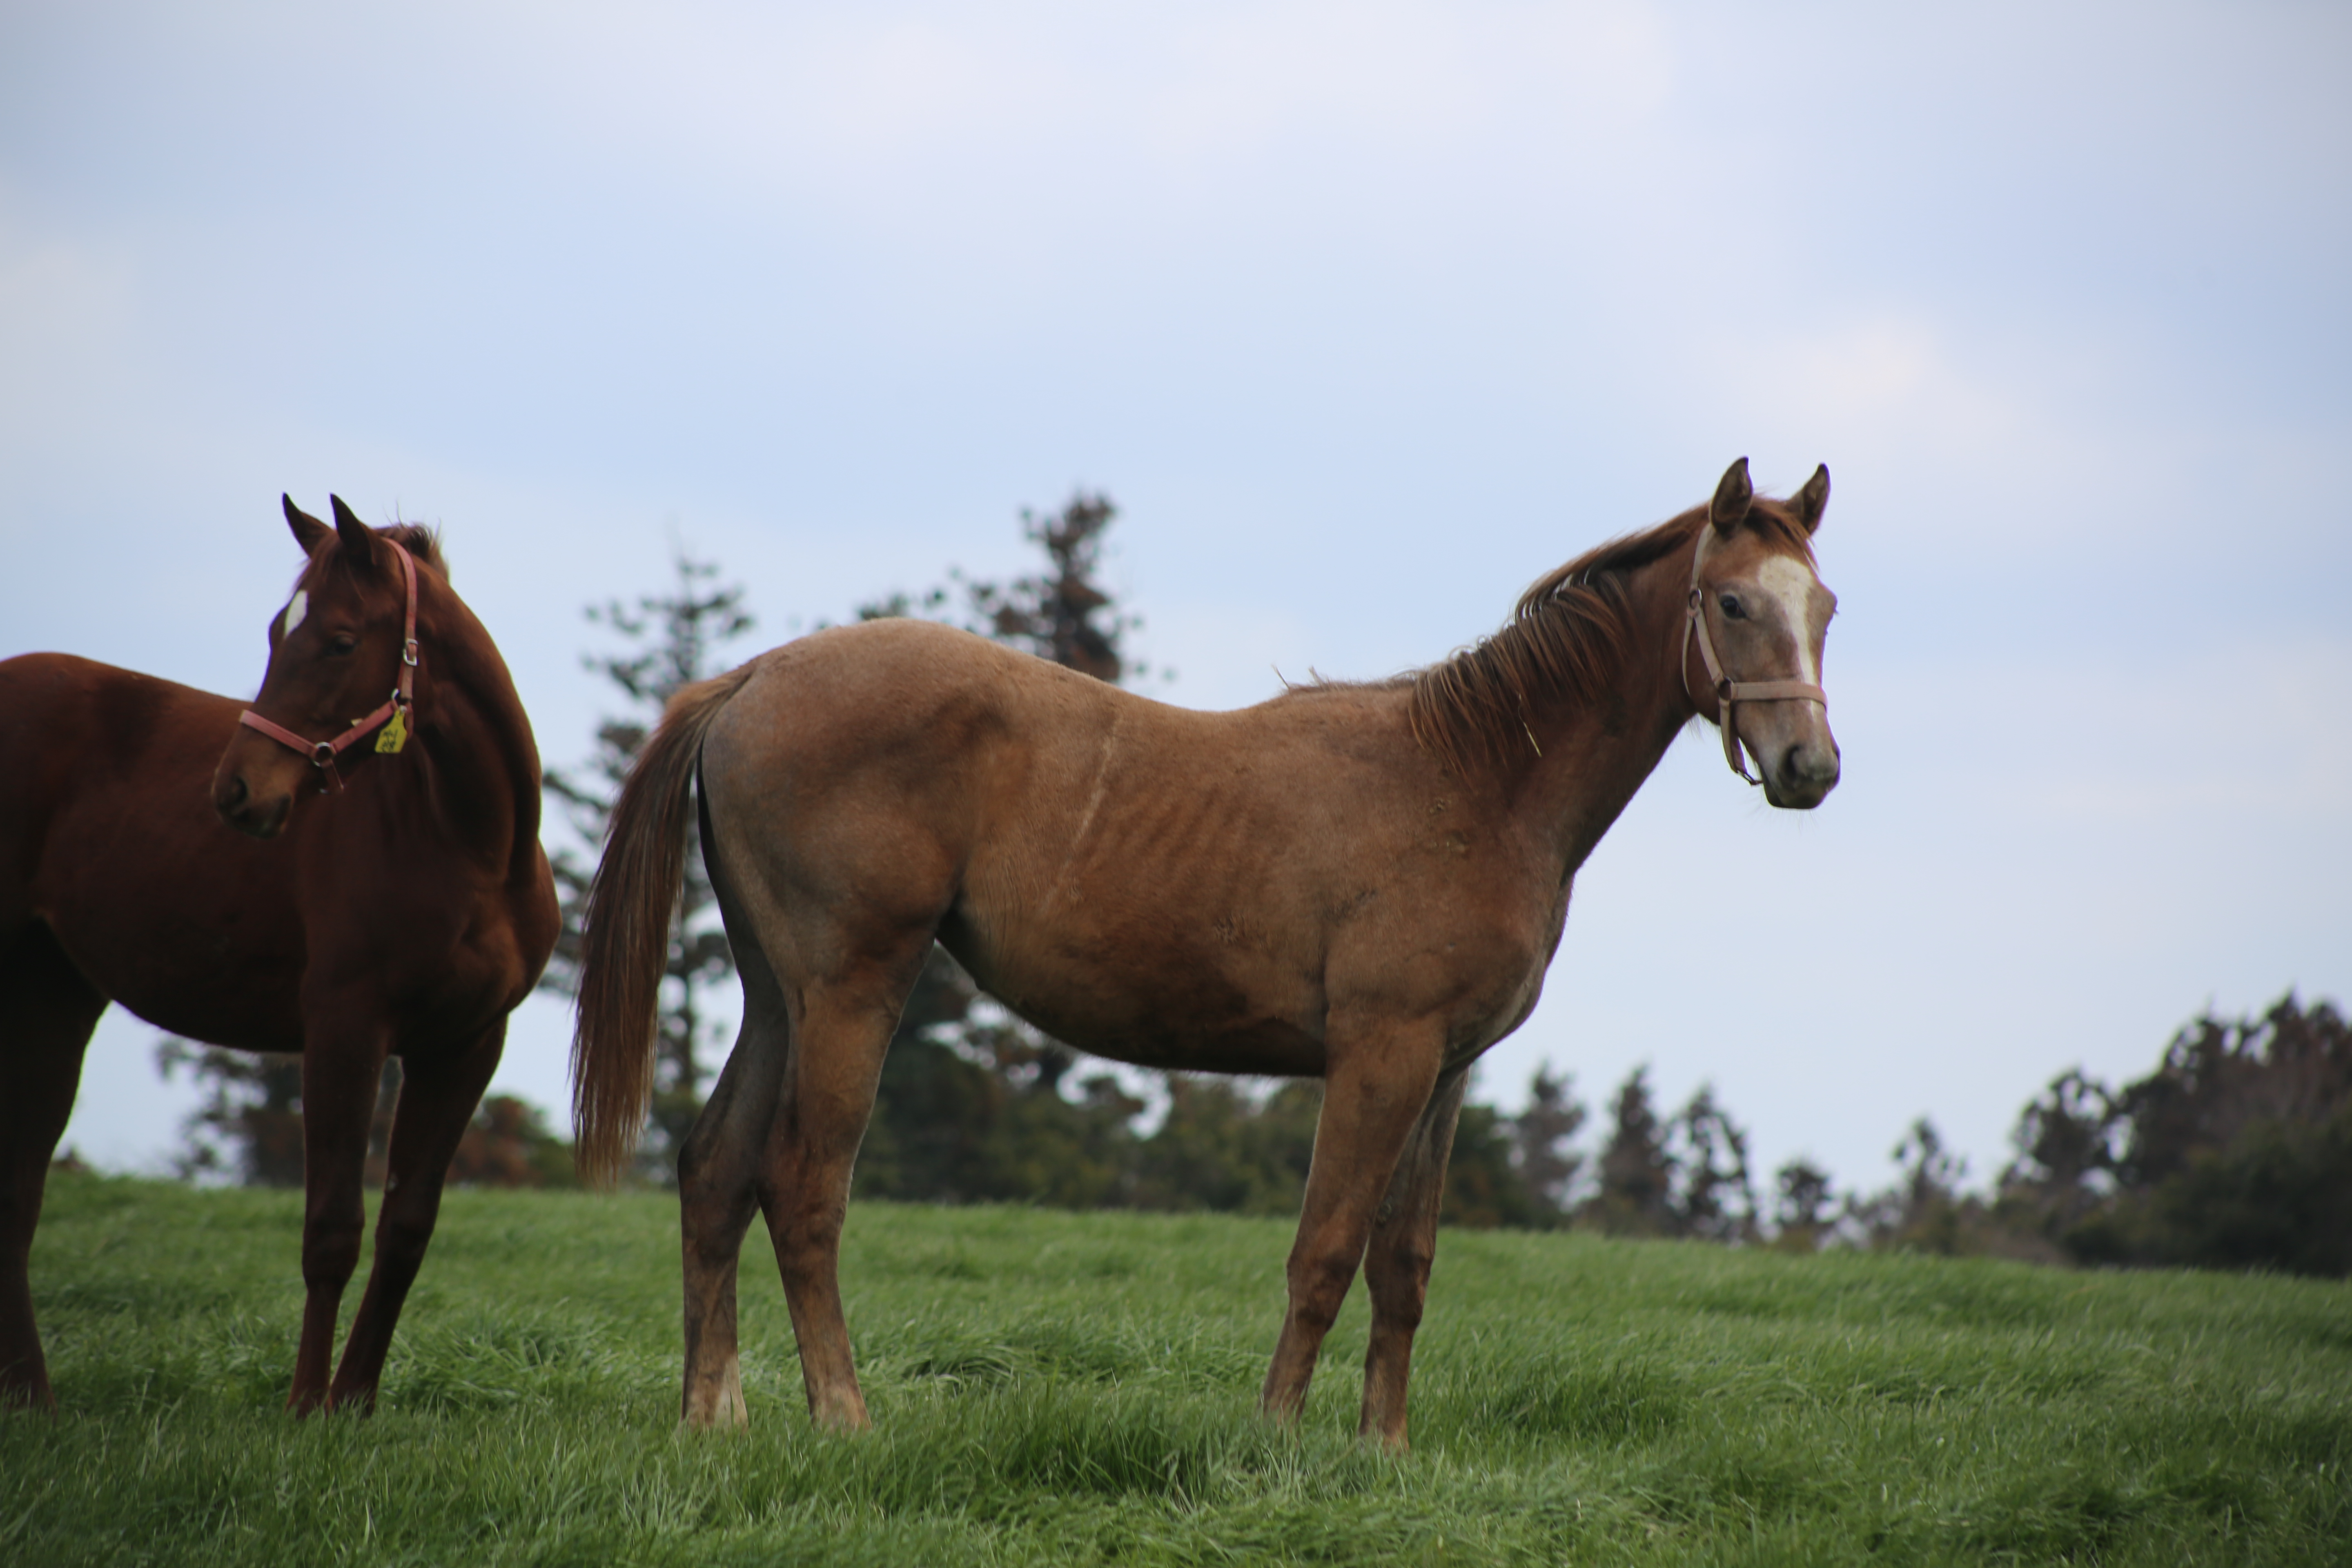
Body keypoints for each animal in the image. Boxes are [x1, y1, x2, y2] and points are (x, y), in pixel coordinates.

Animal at [0, 496, 559, 1420]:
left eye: (339, 640)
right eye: (275, 631)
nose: (238, 793)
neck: (467, 844)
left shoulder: (467, 1046)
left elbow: (408, 1228)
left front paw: (356, 1403)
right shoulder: (345, 1026)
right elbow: (331, 1227)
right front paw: (306, 1409)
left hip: (54, 996)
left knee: (20, 1186)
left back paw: (33, 1401)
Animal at [569, 461, 1834, 1457]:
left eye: (1822, 602)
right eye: (1730, 601)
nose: (1809, 766)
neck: (1475, 784)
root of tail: (750, 679)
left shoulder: (1446, 1070)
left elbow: (1405, 1264)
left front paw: (1384, 1453)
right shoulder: (1380, 1055)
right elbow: (1325, 1251)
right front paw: (1275, 1439)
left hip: (776, 995)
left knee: (715, 1168)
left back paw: (712, 1416)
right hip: (849, 990)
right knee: (801, 1183)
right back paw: (844, 1418)